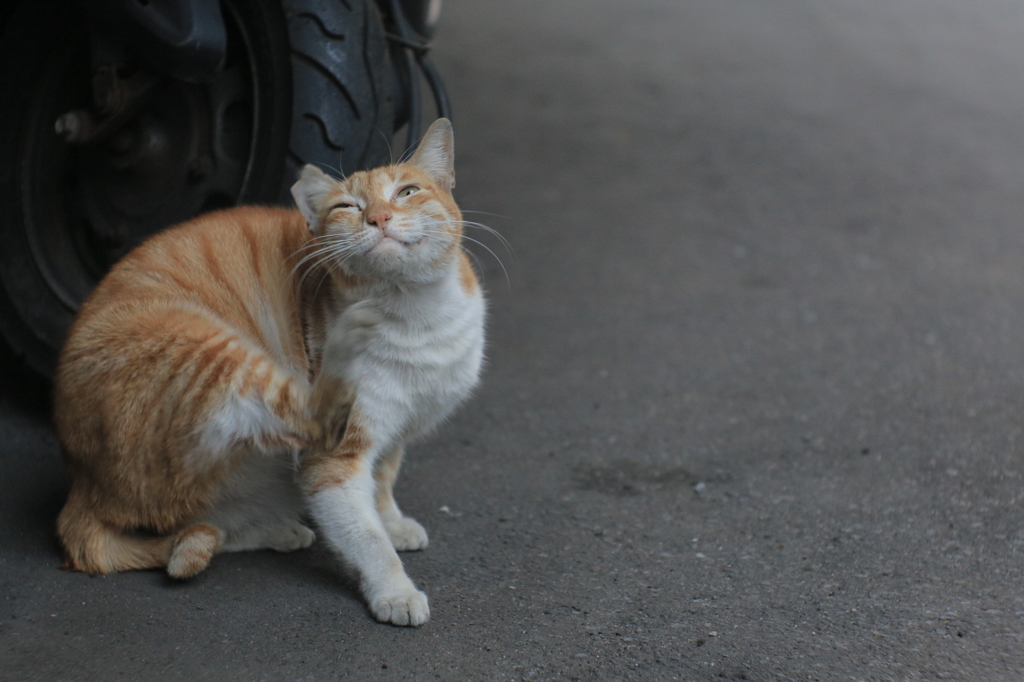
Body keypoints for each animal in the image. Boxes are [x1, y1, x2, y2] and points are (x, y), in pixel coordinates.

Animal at [52, 118, 487, 626]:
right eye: (348, 207)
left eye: (407, 191)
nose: (377, 218)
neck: (416, 319)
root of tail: (81, 486)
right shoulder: (333, 462)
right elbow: (365, 534)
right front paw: (394, 589)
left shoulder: (394, 434)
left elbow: (383, 482)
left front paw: (394, 522)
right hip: (209, 345)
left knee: (200, 529)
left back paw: (275, 529)